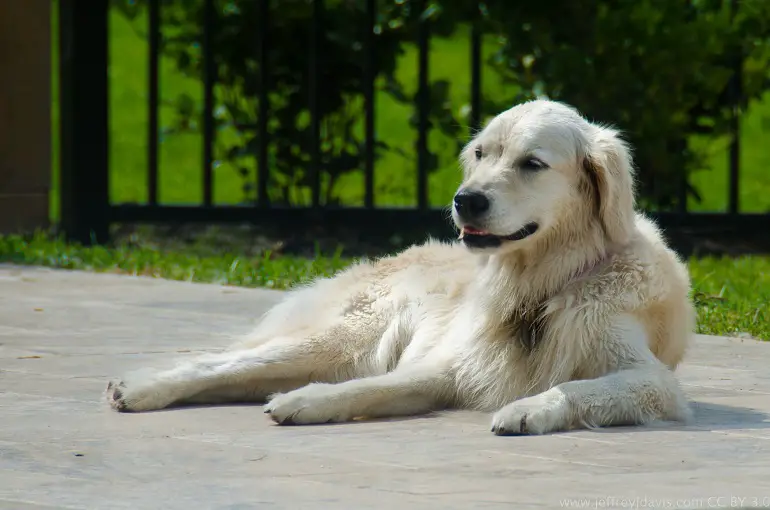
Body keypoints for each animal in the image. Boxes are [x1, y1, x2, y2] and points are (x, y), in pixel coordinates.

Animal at [105, 98, 692, 434]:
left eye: (532, 163)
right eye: (481, 154)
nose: (465, 200)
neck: (540, 285)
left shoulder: (653, 381)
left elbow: (587, 389)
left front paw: (527, 410)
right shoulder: (449, 365)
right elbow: (374, 387)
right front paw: (309, 401)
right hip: (340, 339)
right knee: (220, 364)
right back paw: (140, 389)